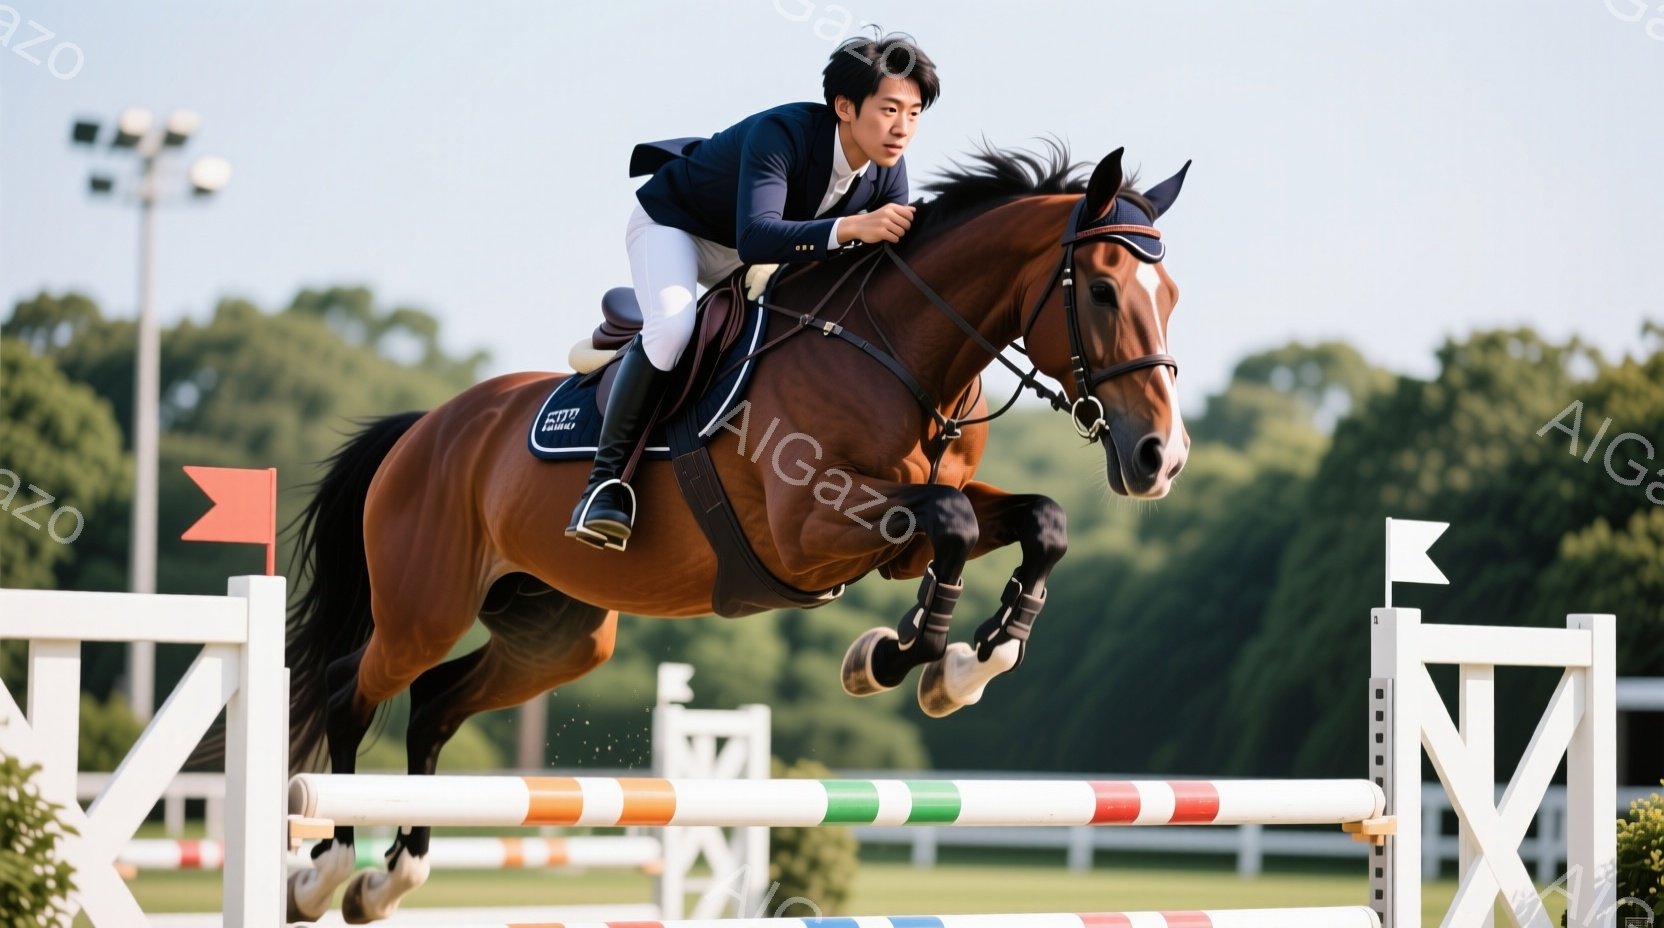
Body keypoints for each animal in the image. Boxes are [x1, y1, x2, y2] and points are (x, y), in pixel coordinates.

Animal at [281, 144, 1190, 923]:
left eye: (1172, 298)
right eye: (1102, 291)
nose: (1161, 458)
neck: (897, 351)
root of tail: (425, 426)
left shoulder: (904, 534)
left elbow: (1040, 521)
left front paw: (968, 663)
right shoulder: (810, 528)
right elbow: (957, 523)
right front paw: (898, 657)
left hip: (558, 635)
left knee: (435, 705)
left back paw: (391, 881)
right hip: (424, 608)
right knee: (348, 688)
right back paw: (325, 871)